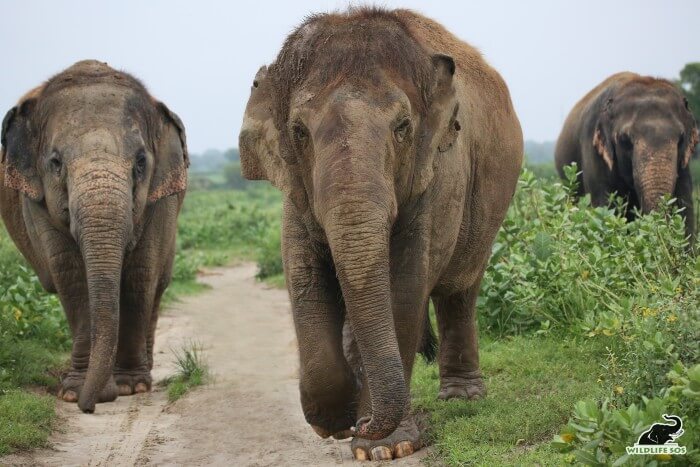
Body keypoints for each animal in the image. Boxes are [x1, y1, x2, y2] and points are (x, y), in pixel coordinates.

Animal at [0, 59, 189, 414]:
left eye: (141, 162)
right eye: (55, 162)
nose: (90, 407)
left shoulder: (161, 199)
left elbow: (139, 273)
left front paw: (129, 387)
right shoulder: (37, 200)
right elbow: (70, 275)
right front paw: (74, 393)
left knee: (156, 284)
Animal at [239, 6, 520, 460]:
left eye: (402, 126)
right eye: (299, 131)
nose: (362, 424)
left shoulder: (432, 180)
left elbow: (403, 289)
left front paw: (383, 447)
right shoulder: (296, 193)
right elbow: (304, 280)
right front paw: (336, 422)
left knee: (460, 289)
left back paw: (461, 398)